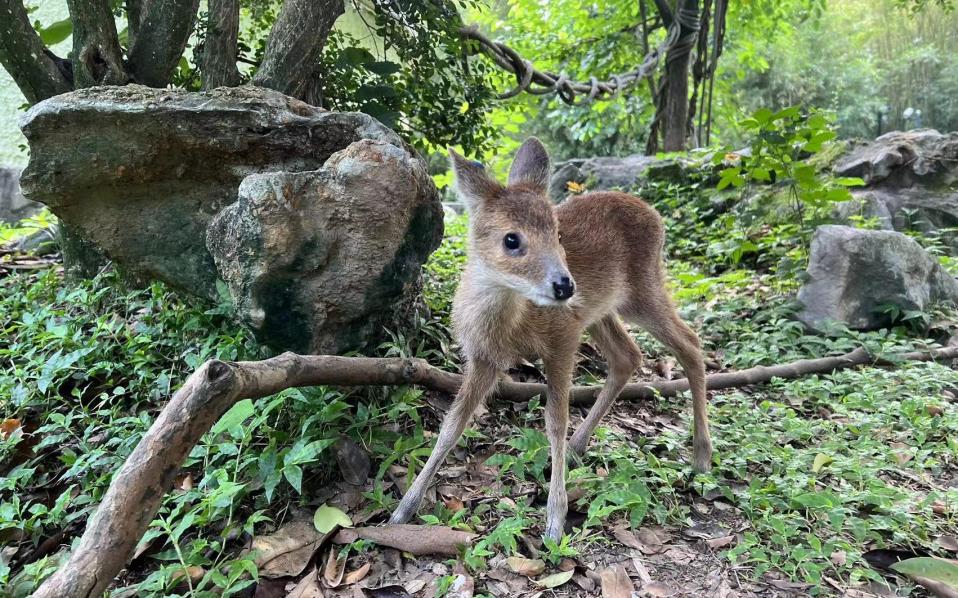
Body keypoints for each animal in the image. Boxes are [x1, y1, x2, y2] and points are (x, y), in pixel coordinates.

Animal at [388, 138, 712, 540]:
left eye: (558, 234)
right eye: (511, 239)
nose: (564, 285)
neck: (511, 322)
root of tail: (655, 214)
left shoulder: (561, 339)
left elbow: (555, 421)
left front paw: (555, 519)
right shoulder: (484, 357)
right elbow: (451, 426)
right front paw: (403, 508)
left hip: (642, 290)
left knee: (691, 344)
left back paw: (701, 456)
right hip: (599, 311)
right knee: (629, 356)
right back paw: (580, 445)